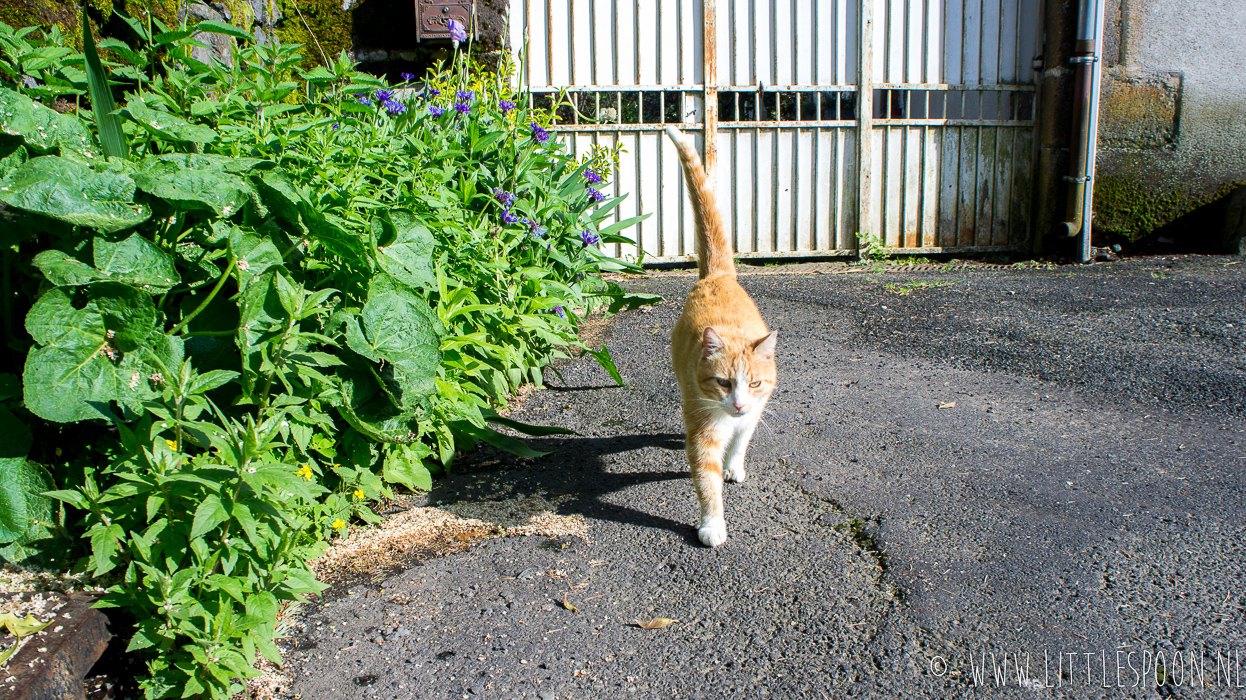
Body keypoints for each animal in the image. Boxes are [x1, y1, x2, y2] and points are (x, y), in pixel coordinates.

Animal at [662, 128, 777, 548]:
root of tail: (718, 275)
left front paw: (734, 465)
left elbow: (742, 440)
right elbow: (707, 480)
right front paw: (713, 523)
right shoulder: (702, 430)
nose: (739, 404)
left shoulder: (757, 408)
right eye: (724, 382)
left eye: (754, 383)